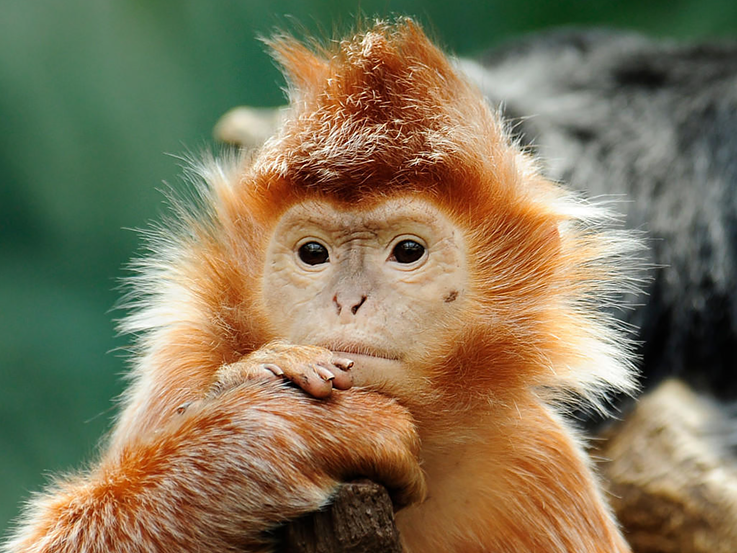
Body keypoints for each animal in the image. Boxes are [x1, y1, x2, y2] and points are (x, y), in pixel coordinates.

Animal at [2, 18, 640, 552]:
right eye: (314, 253)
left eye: (407, 252)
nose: (348, 300)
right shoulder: (179, 369)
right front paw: (278, 423)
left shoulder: (540, 464)